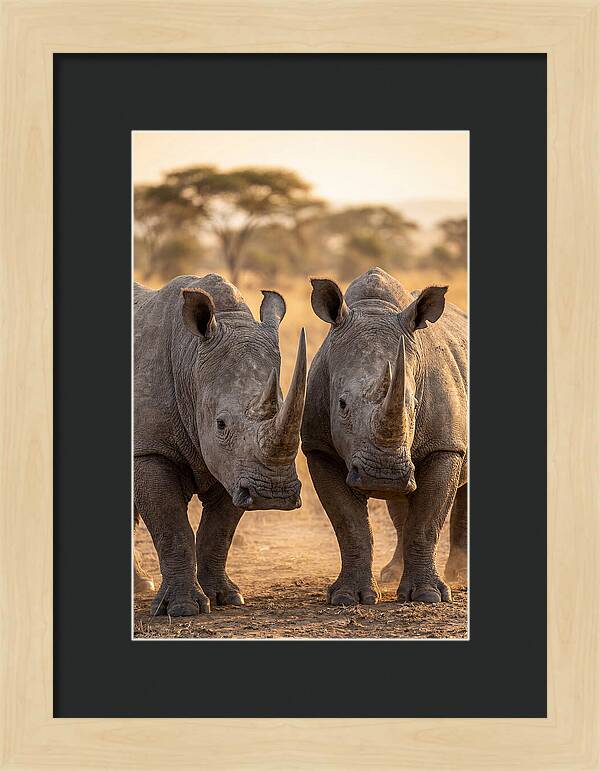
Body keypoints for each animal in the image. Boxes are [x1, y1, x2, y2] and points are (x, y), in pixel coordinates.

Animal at [134, 274, 306, 616]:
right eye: (221, 424)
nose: (273, 494)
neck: (190, 360)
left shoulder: (236, 467)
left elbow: (219, 531)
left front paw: (225, 597)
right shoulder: (150, 448)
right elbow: (171, 527)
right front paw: (183, 609)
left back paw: (141, 585)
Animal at [301, 267, 467, 605]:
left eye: (414, 405)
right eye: (341, 404)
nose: (383, 475)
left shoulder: (445, 446)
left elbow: (427, 522)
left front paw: (428, 596)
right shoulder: (319, 448)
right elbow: (350, 525)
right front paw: (348, 597)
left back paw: (460, 574)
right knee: (401, 504)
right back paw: (392, 573)